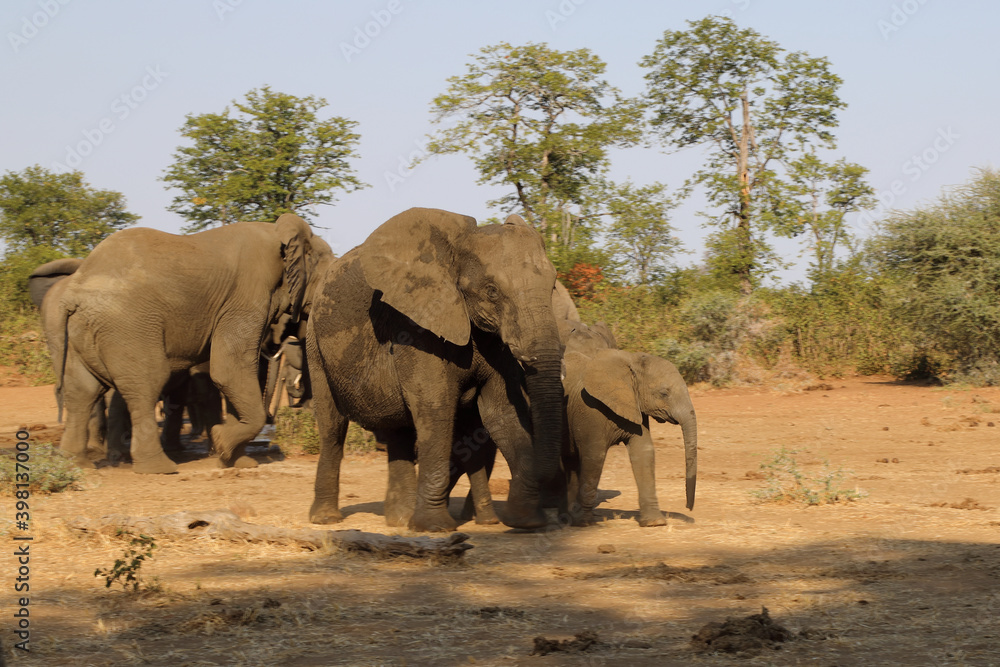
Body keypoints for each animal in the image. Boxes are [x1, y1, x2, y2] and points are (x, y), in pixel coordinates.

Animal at [56, 214, 331, 474]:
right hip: (127, 326)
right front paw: (222, 444)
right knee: (146, 383)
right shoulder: (247, 295)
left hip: (84, 330)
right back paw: (159, 468)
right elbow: (229, 370)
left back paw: (76, 464)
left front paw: (238, 462)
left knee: (82, 390)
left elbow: (234, 374)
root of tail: (73, 292)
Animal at [306, 208, 565, 532]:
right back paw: (326, 519)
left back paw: (400, 521)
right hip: (315, 344)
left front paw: (526, 522)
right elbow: (435, 406)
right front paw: (436, 528)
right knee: (332, 428)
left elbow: (502, 411)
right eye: (492, 291)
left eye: (553, 286)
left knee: (399, 430)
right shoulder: (414, 325)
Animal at [560, 347, 697, 526]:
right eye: (664, 393)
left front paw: (655, 522)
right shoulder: (589, 407)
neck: (631, 361)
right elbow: (594, 456)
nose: (688, 507)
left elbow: (643, 452)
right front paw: (585, 523)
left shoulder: (636, 404)